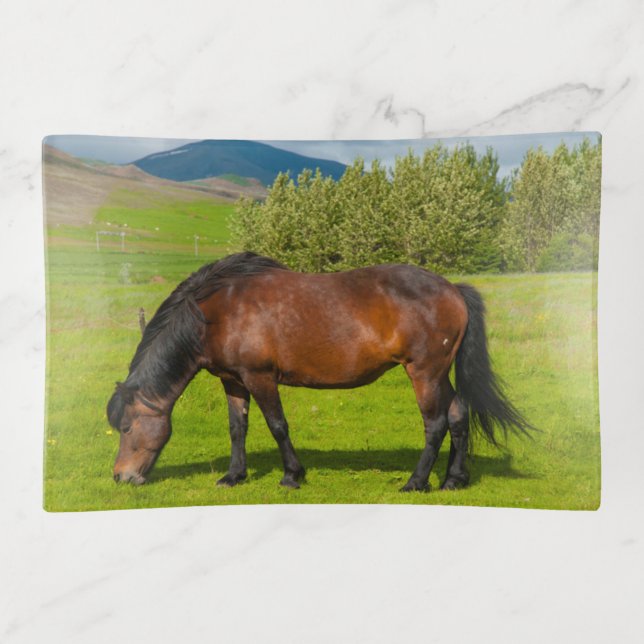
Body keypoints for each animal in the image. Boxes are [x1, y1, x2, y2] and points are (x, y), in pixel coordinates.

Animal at [107, 251, 532, 491]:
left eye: (126, 428)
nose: (121, 476)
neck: (218, 311)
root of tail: (453, 289)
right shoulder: (234, 381)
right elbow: (237, 428)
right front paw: (233, 476)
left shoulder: (260, 377)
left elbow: (278, 426)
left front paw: (292, 475)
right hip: (440, 374)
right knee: (459, 414)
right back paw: (453, 480)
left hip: (424, 374)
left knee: (436, 423)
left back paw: (416, 482)